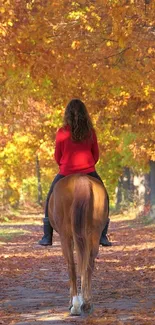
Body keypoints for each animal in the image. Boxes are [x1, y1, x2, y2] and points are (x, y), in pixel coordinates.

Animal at [47, 173, 108, 316]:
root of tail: (81, 179)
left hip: (65, 236)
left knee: (71, 265)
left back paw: (74, 304)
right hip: (94, 232)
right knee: (89, 263)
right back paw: (87, 303)